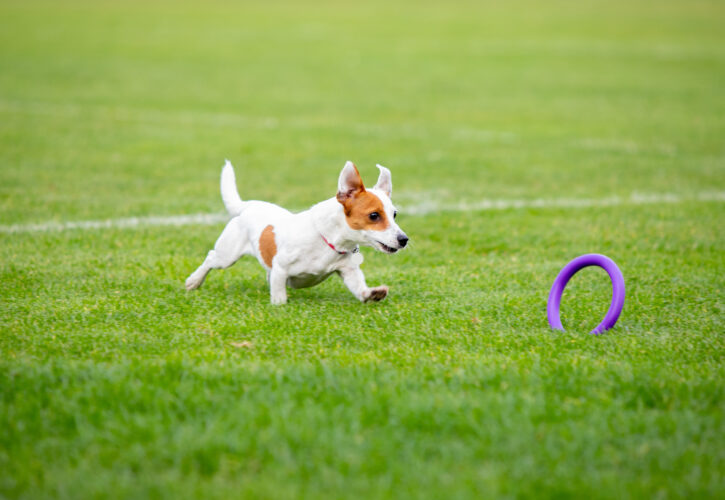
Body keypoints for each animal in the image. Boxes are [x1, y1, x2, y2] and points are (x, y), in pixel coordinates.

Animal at [185, 160, 408, 304]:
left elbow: (359, 288)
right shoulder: (281, 268)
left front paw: (372, 294)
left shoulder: (348, 271)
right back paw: (194, 281)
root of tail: (248, 205)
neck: (328, 242)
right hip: (227, 255)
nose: (404, 239)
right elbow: (279, 296)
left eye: (395, 214)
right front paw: (280, 306)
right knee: (211, 258)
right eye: (374, 215)